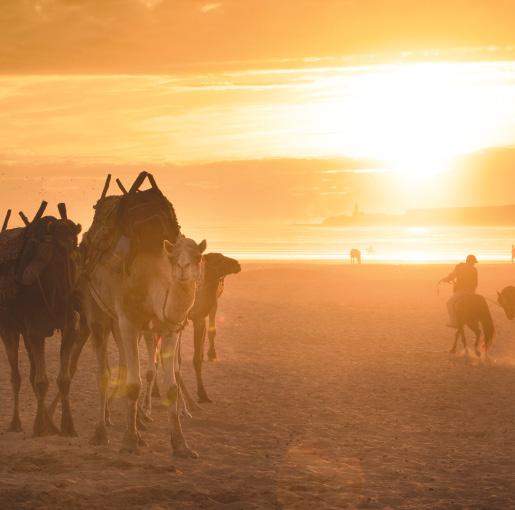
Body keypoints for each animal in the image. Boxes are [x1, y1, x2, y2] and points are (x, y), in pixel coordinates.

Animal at [0, 202, 81, 434]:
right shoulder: (35, 330)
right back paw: (16, 423)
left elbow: (63, 379)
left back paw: (49, 424)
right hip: (8, 328)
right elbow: (41, 381)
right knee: (16, 376)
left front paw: (67, 426)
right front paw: (38, 427)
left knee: (30, 373)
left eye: (75, 245)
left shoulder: (69, 328)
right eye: (56, 248)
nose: (72, 290)